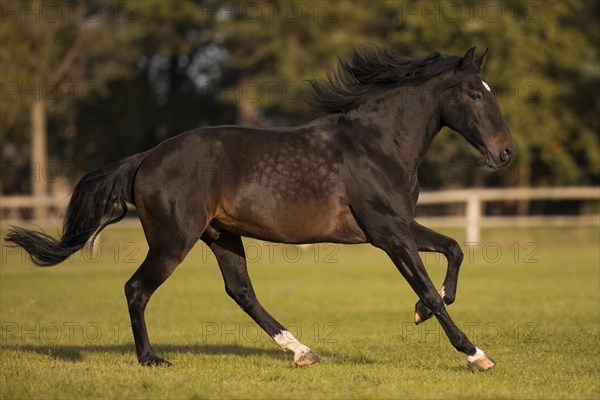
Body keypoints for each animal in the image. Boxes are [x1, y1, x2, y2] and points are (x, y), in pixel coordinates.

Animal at [5, 47, 516, 372]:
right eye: (474, 94)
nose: (506, 152)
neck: (377, 145)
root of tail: (145, 159)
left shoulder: (399, 225)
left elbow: (453, 250)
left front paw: (420, 313)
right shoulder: (387, 232)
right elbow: (429, 284)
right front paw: (475, 354)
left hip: (222, 236)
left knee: (241, 291)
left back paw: (302, 351)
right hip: (173, 241)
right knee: (137, 288)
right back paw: (151, 359)